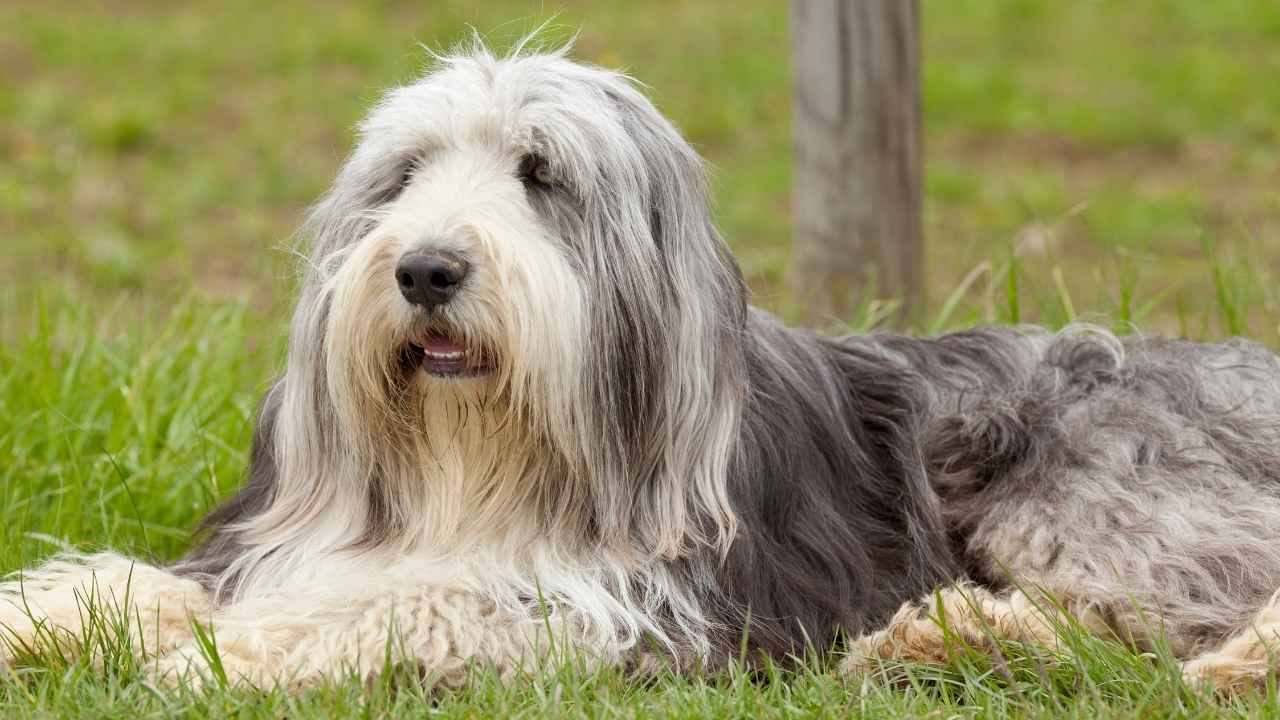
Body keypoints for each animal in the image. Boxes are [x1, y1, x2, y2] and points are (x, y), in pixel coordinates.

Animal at [2, 43, 1280, 691]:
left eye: (541, 175)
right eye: (404, 174)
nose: (424, 269)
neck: (476, 458)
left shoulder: (628, 603)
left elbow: (425, 598)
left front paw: (227, 654)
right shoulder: (281, 545)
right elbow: (144, 586)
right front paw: (50, 624)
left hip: (1094, 500)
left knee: (1153, 618)